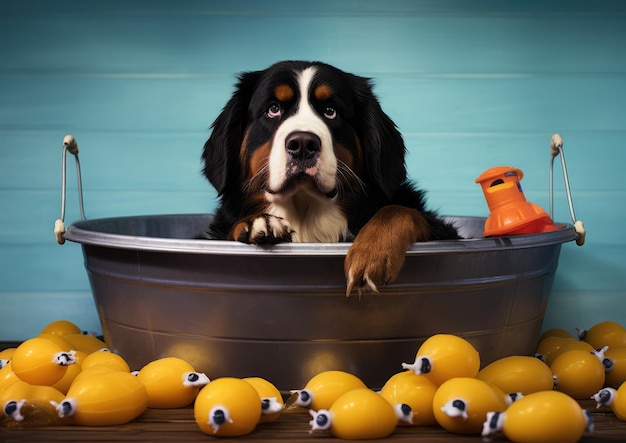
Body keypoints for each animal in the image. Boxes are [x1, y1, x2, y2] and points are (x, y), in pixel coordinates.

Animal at [201, 59, 458, 294]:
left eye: (330, 111)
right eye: (273, 109)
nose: (302, 144)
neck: (306, 216)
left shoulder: (443, 230)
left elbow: (399, 210)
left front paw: (372, 254)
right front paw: (257, 222)